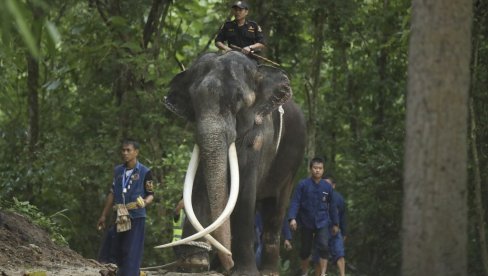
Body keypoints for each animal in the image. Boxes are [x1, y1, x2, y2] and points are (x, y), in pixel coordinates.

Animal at [159, 50, 304, 274]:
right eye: (193, 100)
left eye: (238, 99)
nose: (228, 261)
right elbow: (198, 185)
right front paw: (195, 263)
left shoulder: (260, 137)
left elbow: (244, 190)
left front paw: (244, 272)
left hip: (292, 165)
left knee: (276, 209)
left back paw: (267, 271)